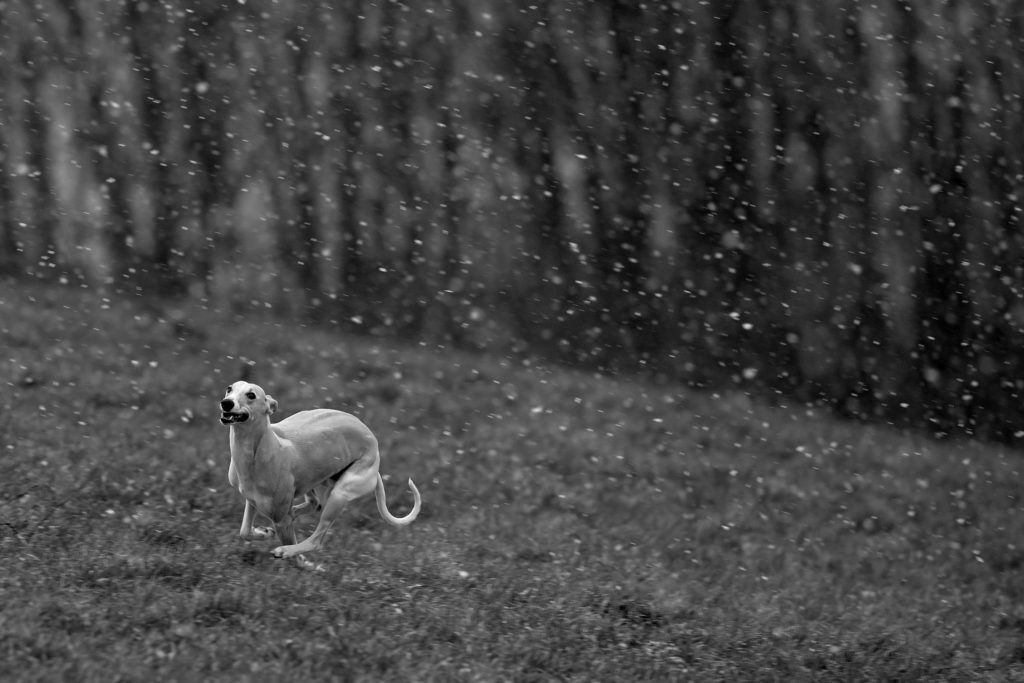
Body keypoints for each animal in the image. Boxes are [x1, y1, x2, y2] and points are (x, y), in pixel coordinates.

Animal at [219, 382, 419, 569]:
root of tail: (375, 452)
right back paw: (295, 514)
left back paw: (288, 550)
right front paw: (264, 533)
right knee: (315, 503)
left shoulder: (280, 518)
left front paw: (302, 562)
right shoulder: (251, 498)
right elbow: (244, 531)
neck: (257, 449)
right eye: (229, 388)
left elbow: (295, 557)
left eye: (251, 395)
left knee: (316, 539)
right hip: (317, 480)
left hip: (340, 493)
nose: (226, 403)